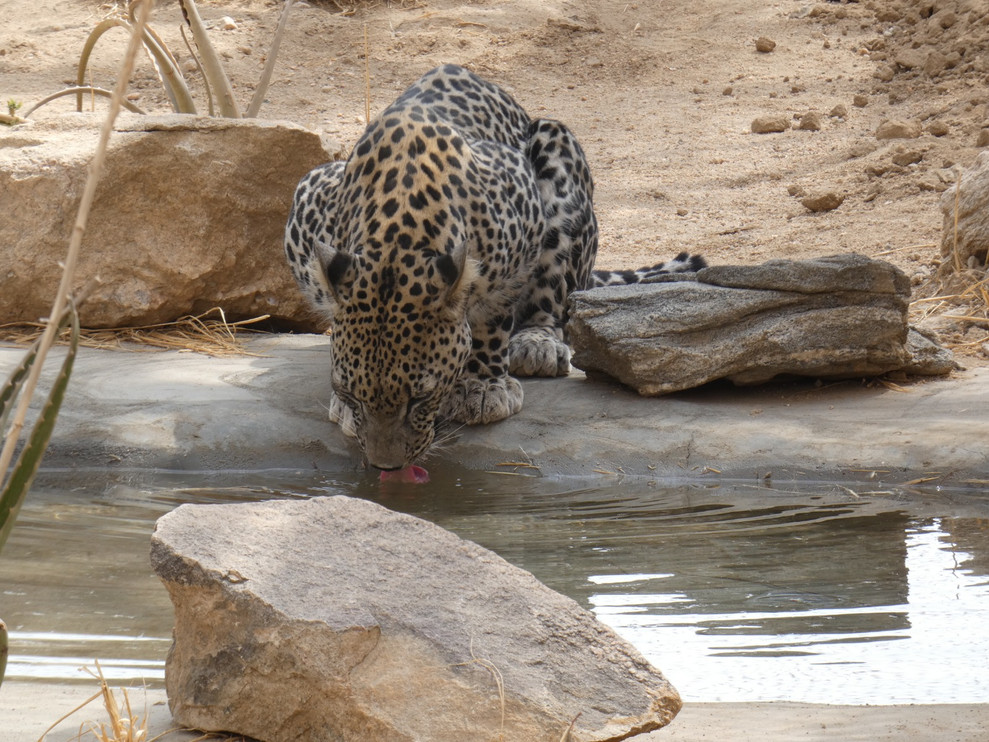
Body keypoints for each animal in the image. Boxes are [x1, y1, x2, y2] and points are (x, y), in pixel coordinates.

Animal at [284, 64, 704, 472]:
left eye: (420, 397)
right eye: (352, 391)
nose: (385, 467)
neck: (399, 227)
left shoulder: (522, 218)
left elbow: (493, 315)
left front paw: (483, 386)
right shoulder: (308, 197)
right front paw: (343, 407)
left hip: (557, 149)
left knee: (556, 298)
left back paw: (537, 344)